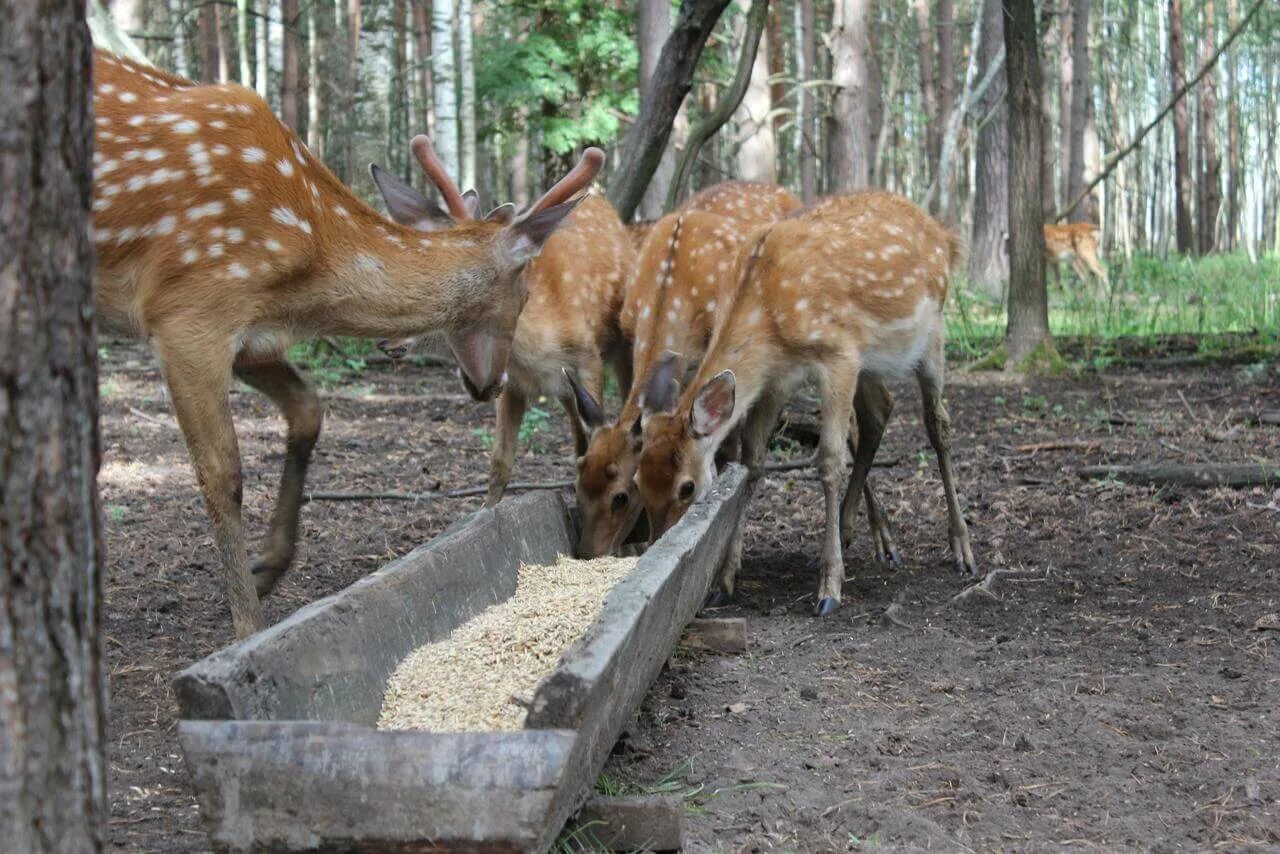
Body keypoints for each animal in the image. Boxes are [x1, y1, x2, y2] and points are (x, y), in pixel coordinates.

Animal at [90, 46, 599, 635]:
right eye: (524, 291)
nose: (489, 384)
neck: (308, 263)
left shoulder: (252, 334)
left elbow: (309, 409)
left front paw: (269, 567)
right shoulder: (189, 310)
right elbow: (223, 474)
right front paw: (248, 627)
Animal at [634, 190, 972, 617]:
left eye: (687, 487)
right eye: (637, 482)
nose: (657, 544)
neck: (768, 314)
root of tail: (945, 236)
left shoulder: (839, 353)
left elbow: (828, 460)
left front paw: (829, 590)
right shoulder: (775, 382)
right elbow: (751, 464)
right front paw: (725, 582)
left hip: (932, 333)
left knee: (937, 423)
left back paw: (962, 549)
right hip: (873, 361)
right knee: (879, 413)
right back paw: (847, 536)